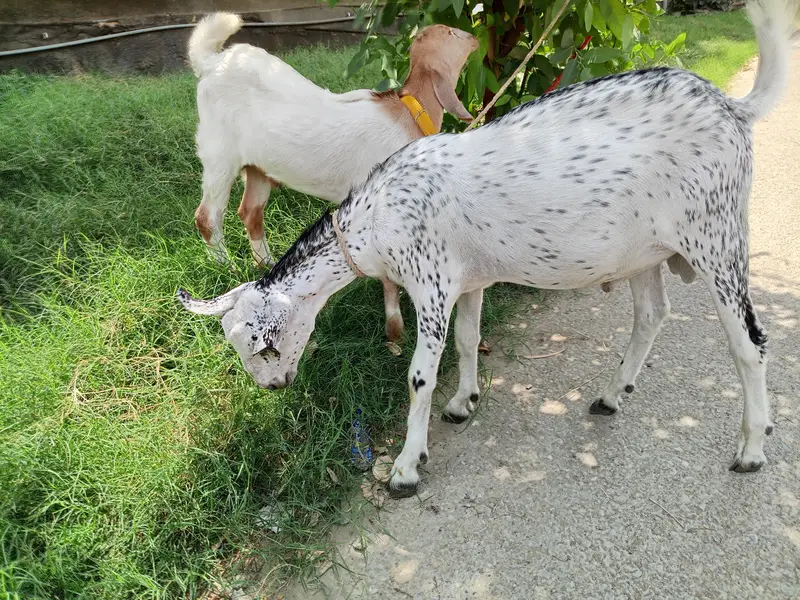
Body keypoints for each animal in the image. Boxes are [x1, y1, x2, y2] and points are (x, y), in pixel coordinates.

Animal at [187, 13, 477, 342]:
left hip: (257, 165)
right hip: (219, 154)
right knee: (208, 217)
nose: (473, 38)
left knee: (250, 211)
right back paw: (227, 269)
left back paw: (268, 265)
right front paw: (395, 330)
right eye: (452, 34)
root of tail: (213, 62)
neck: (409, 112)